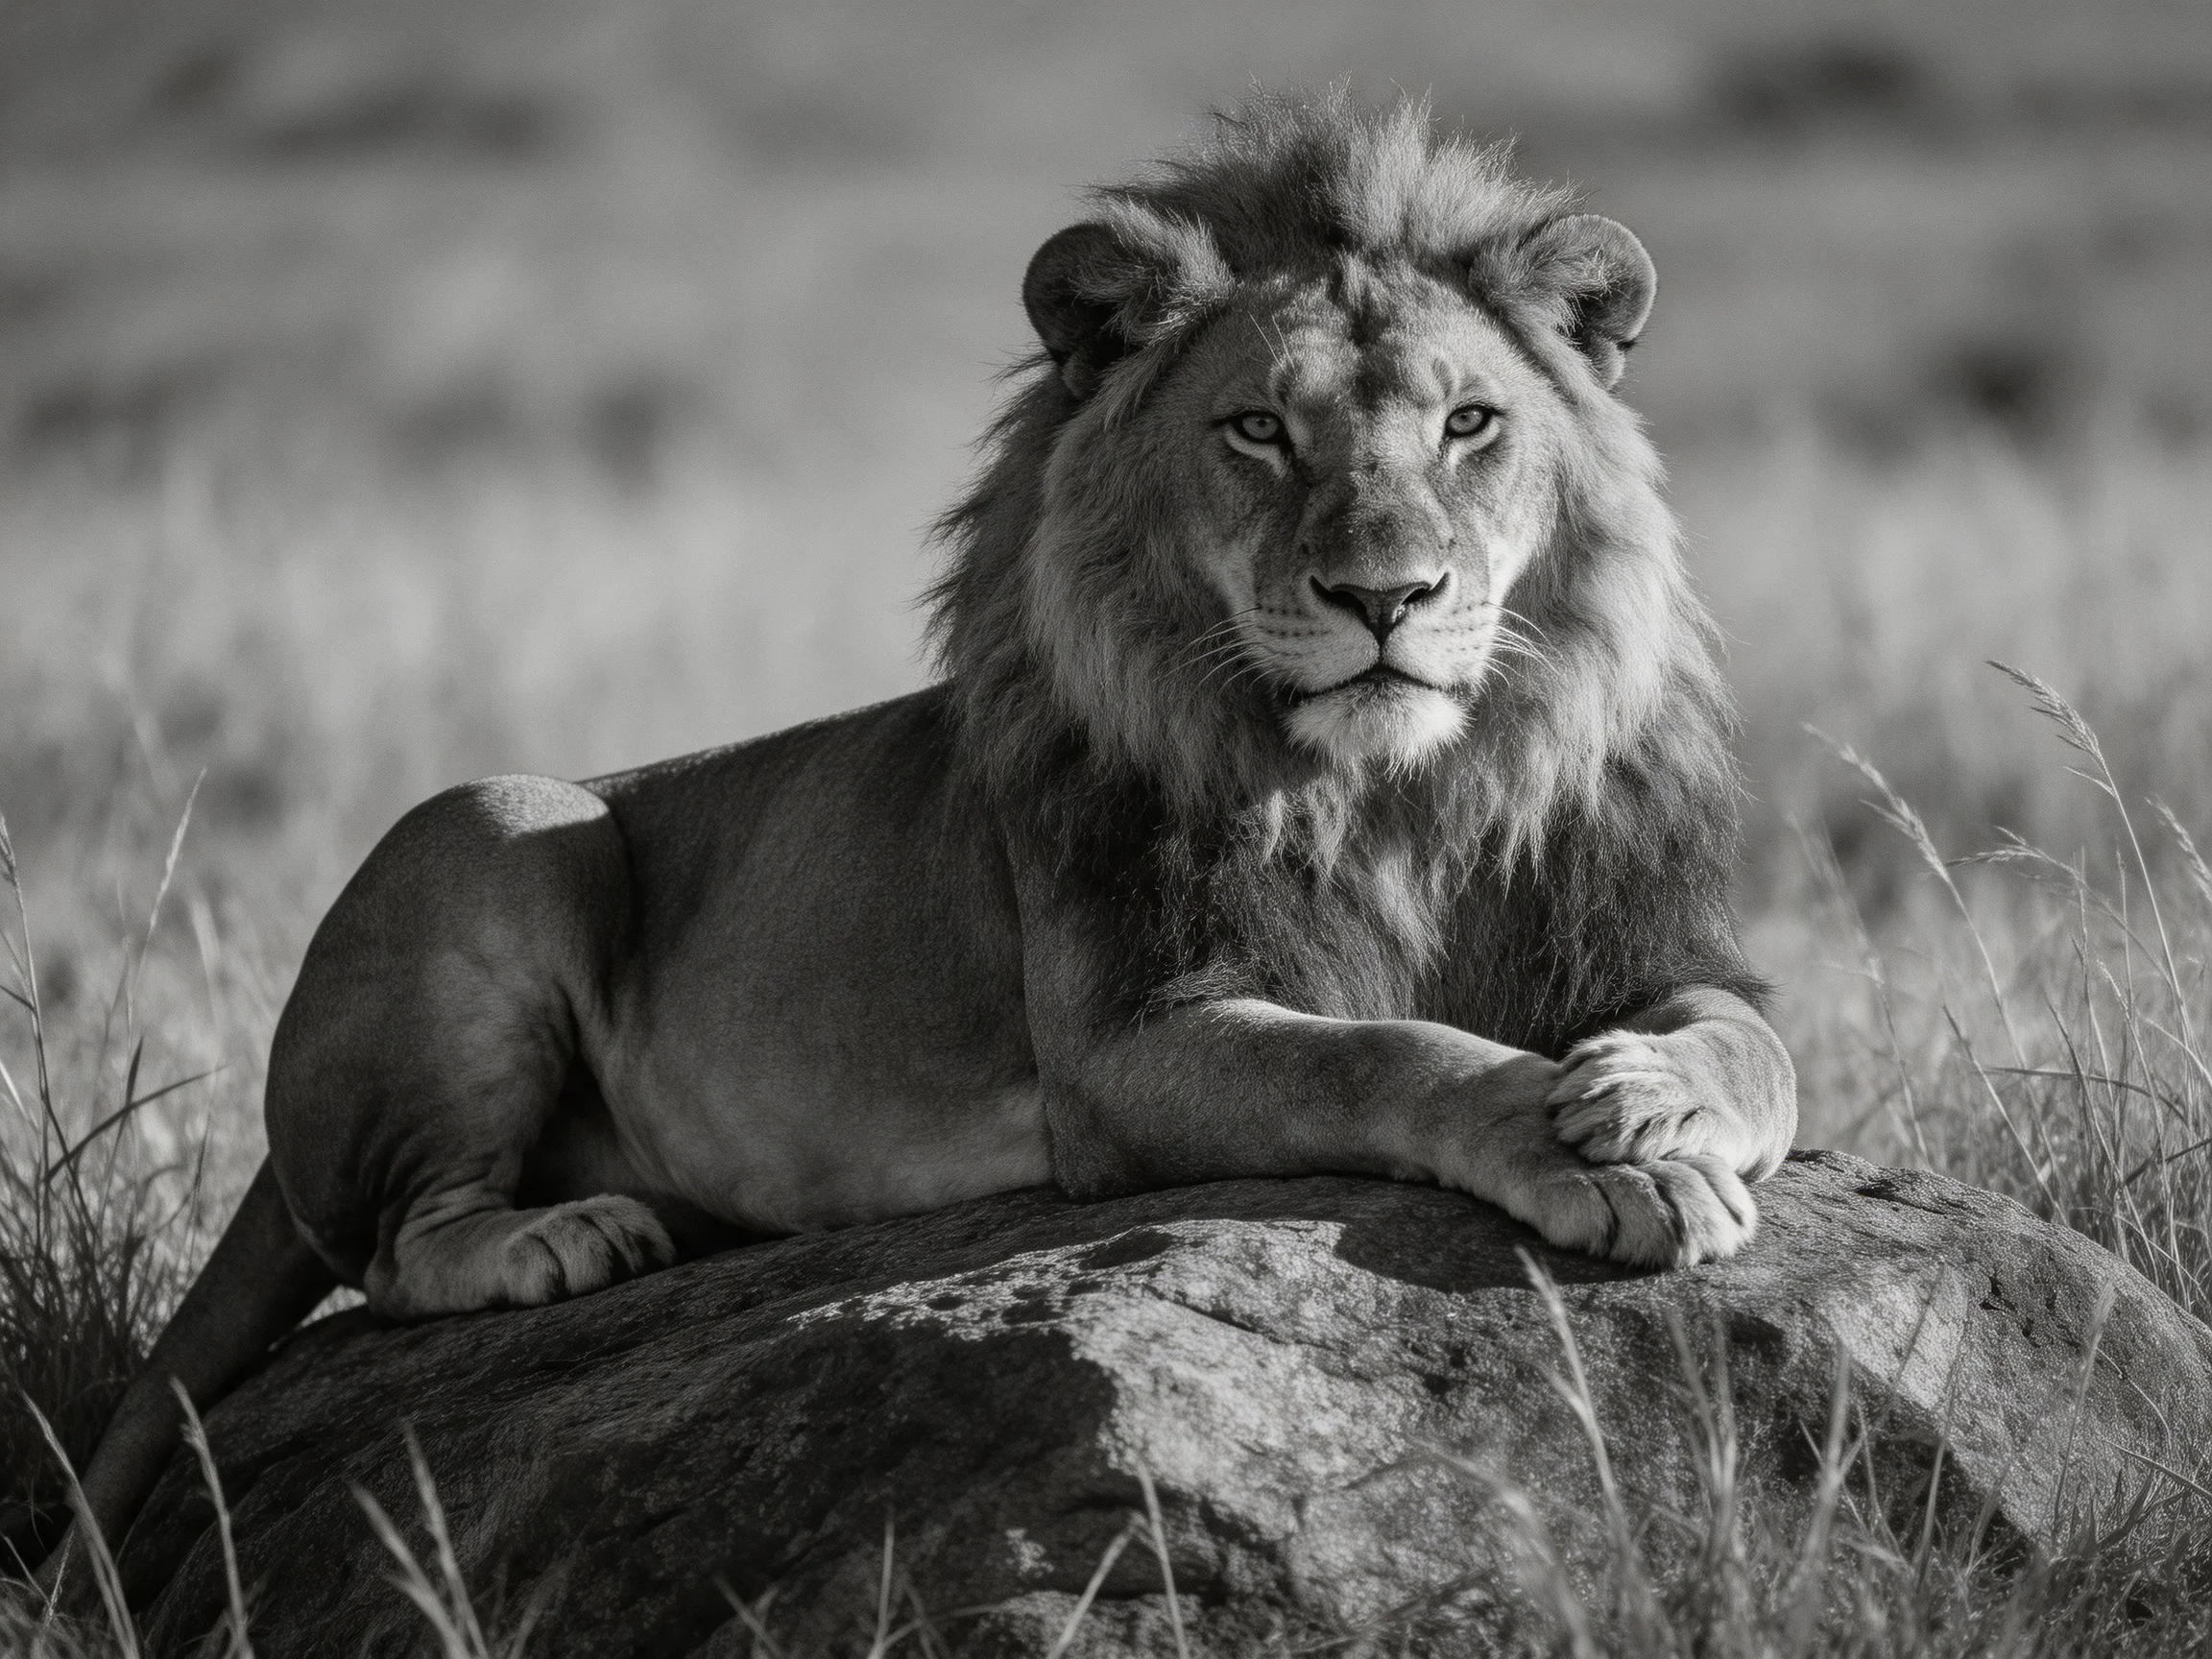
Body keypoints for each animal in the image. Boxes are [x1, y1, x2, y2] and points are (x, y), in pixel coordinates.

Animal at [52, 91, 1794, 1575]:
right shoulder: (1126, 1047)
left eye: (1471, 424)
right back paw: (562, 1239)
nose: (1387, 596)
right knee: (390, 1243)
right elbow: (1396, 1053)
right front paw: (1596, 1158)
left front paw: (1647, 1101)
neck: (1402, 793)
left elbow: (1753, 1051)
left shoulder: (1644, 946)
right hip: (495, 819)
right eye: (1256, 431)